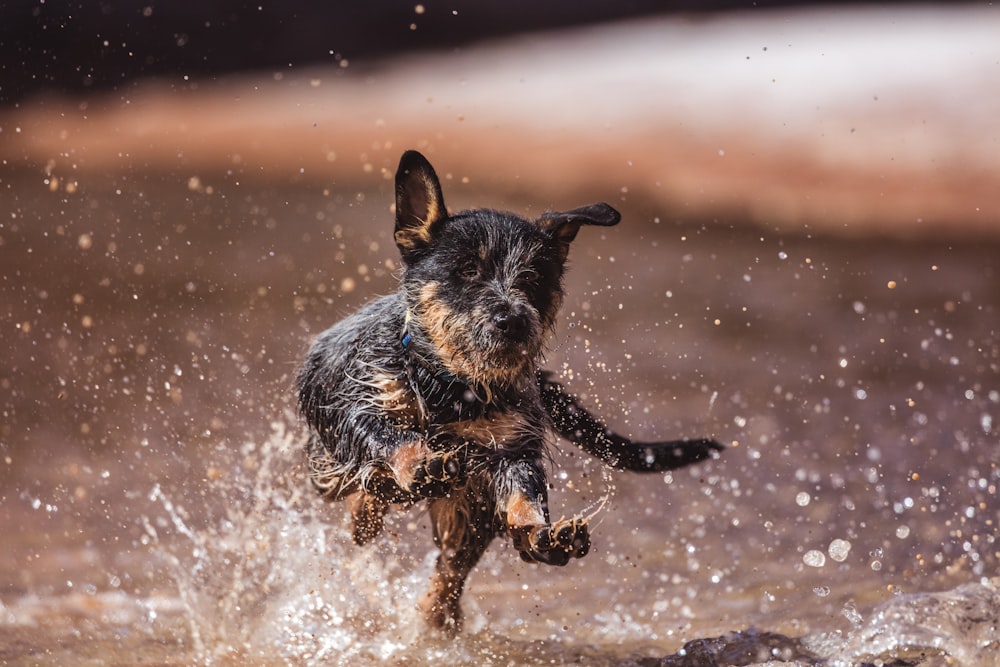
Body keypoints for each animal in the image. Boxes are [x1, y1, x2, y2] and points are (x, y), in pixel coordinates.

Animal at [292, 150, 724, 636]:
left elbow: (523, 495)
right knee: (365, 496)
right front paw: (419, 463)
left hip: (467, 512)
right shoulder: (358, 404)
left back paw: (442, 610)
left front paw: (540, 533)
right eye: (467, 270)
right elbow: (391, 438)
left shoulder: (510, 446)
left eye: (533, 277)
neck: (452, 389)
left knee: (449, 572)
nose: (513, 319)